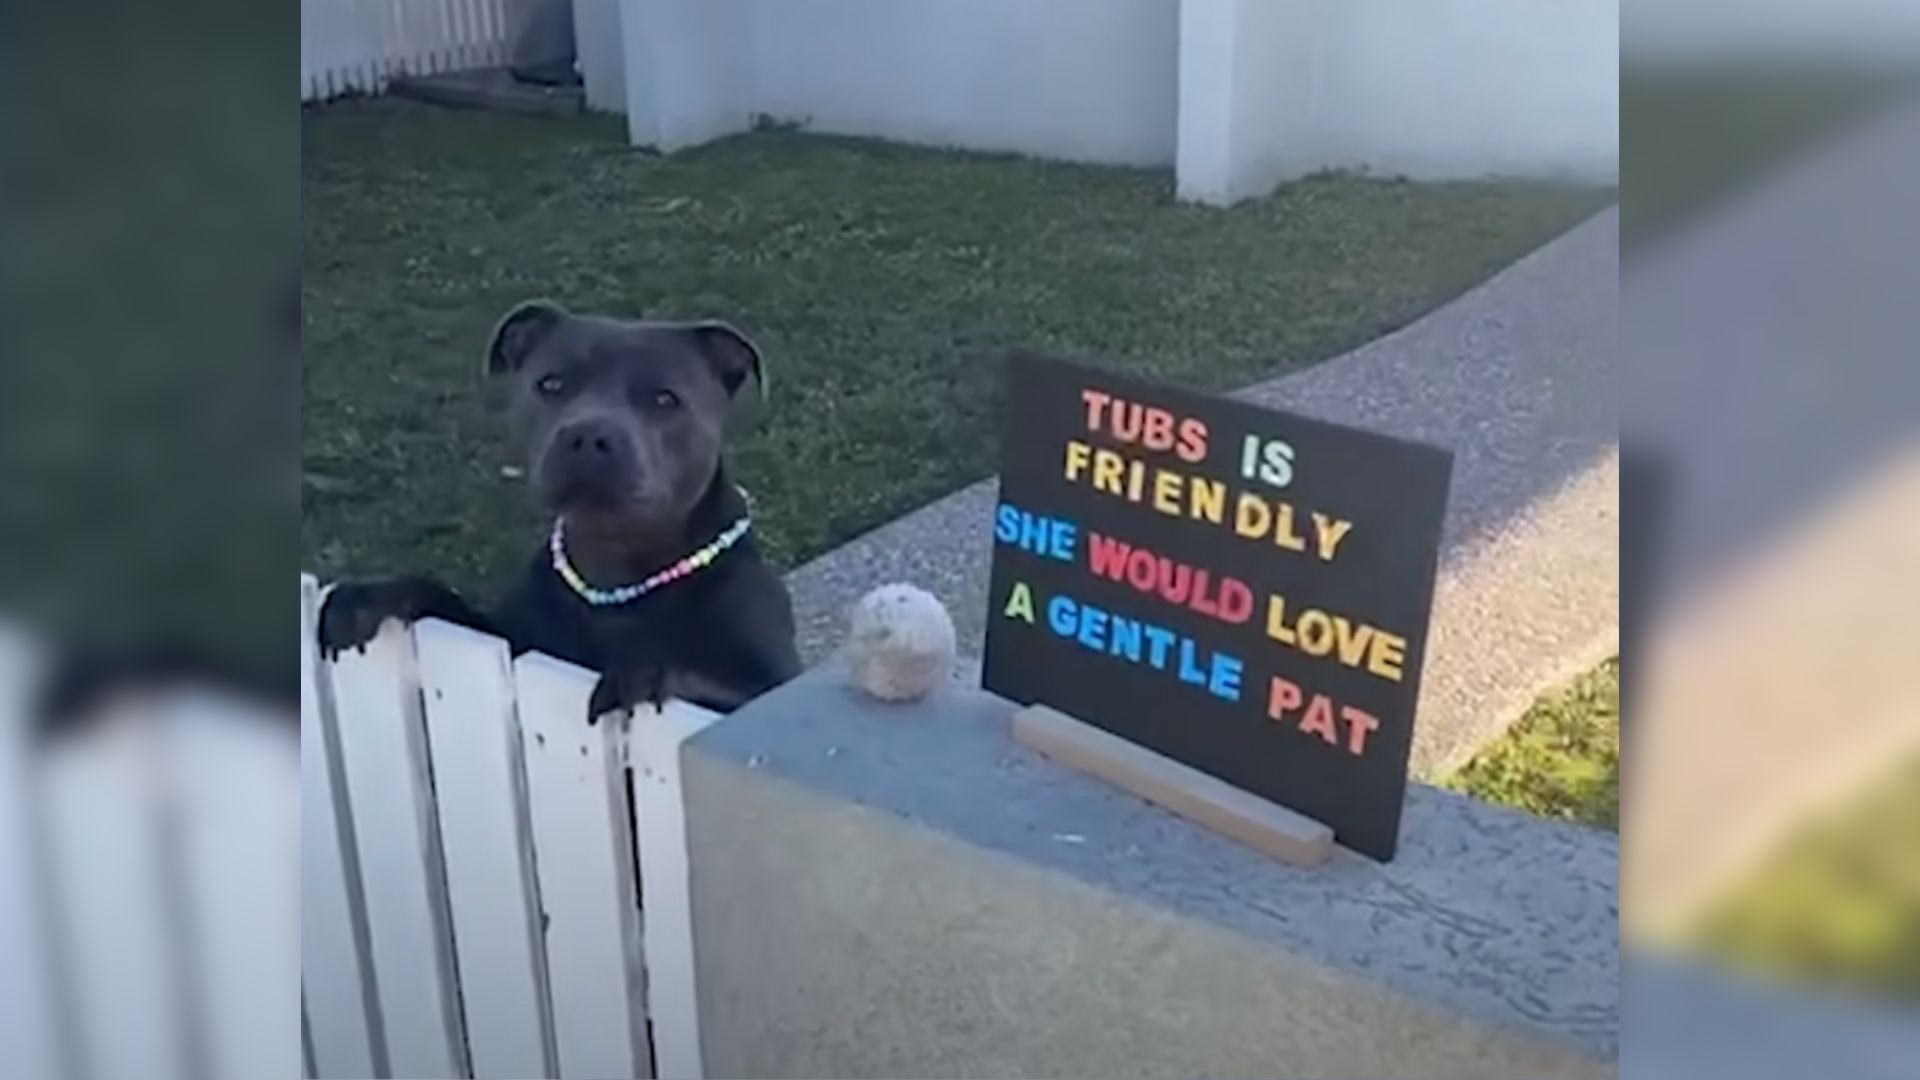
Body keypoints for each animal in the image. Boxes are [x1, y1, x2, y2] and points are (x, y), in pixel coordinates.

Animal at [318, 297, 798, 718]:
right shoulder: (508, 641)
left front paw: (644, 672)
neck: (615, 572)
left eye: (665, 398)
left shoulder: (768, 685)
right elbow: (443, 600)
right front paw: (368, 597)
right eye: (551, 383)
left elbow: (713, 684)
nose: (588, 435)